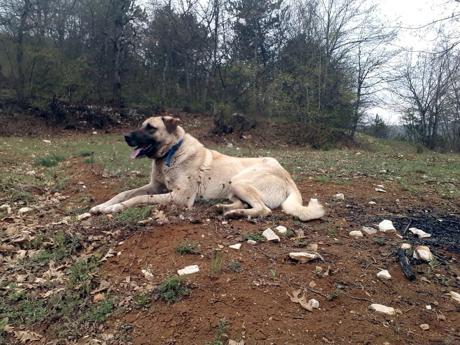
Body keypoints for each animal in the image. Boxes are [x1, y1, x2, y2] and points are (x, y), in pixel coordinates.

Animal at [90, 114, 326, 219]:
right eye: (141, 125)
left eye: (151, 128)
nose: (126, 136)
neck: (171, 152)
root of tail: (288, 177)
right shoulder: (156, 187)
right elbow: (125, 193)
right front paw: (103, 206)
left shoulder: (180, 197)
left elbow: (138, 199)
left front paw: (113, 209)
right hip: (233, 188)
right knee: (245, 204)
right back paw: (224, 208)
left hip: (241, 180)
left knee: (263, 209)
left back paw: (234, 214)